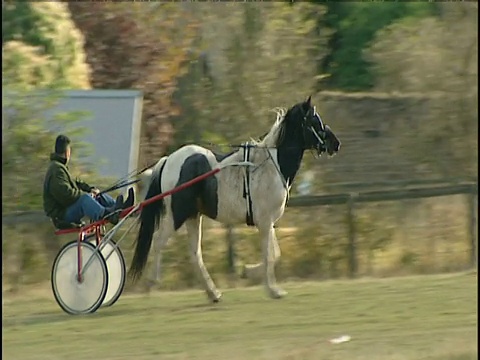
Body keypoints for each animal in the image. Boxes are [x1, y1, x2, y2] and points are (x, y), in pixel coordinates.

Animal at [130, 95, 342, 300]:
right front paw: (270, 289)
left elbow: (275, 253)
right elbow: (269, 256)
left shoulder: (268, 222)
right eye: (314, 121)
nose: (336, 144)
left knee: (195, 253)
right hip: (177, 215)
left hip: (193, 217)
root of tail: (168, 160)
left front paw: (248, 272)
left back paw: (213, 293)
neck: (271, 166)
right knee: (159, 242)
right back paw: (151, 283)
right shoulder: (265, 222)